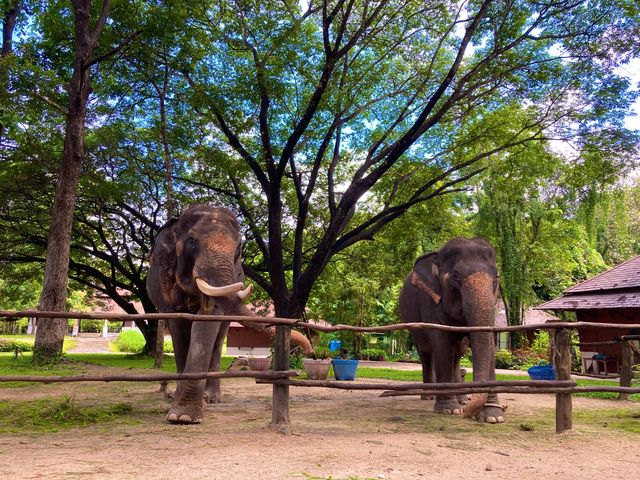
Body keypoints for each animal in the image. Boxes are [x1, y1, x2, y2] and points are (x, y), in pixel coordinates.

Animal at [146, 202, 316, 424]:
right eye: (191, 240)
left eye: (238, 247)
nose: (311, 351)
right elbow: (178, 328)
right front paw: (180, 415)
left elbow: (207, 322)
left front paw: (185, 415)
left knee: (218, 341)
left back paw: (212, 398)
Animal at [400, 237, 504, 424]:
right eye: (455, 276)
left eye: (497, 277)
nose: (467, 414)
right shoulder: (431, 301)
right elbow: (442, 344)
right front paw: (449, 410)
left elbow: (488, 343)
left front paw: (493, 416)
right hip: (411, 321)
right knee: (426, 352)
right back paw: (429, 396)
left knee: (457, 354)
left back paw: (462, 400)